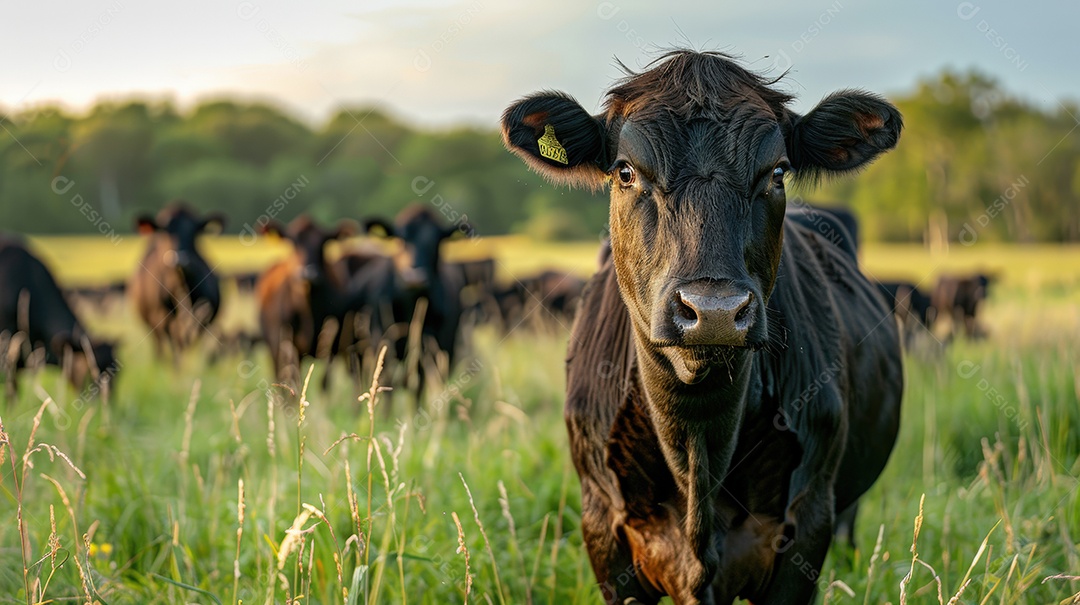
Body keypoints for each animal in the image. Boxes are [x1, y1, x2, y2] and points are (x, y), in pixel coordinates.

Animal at [129, 203, 224, 358]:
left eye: (194, 232)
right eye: (166, 231)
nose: (179, 259)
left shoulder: (203, 318)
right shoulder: (162, 319)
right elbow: (174, 345)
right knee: (159, 344)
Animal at [503, 51, 902, 605]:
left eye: (777, 172)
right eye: (625, 171)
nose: (713, 310)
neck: (697, 441)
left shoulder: (808, 523)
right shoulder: (603, 528)